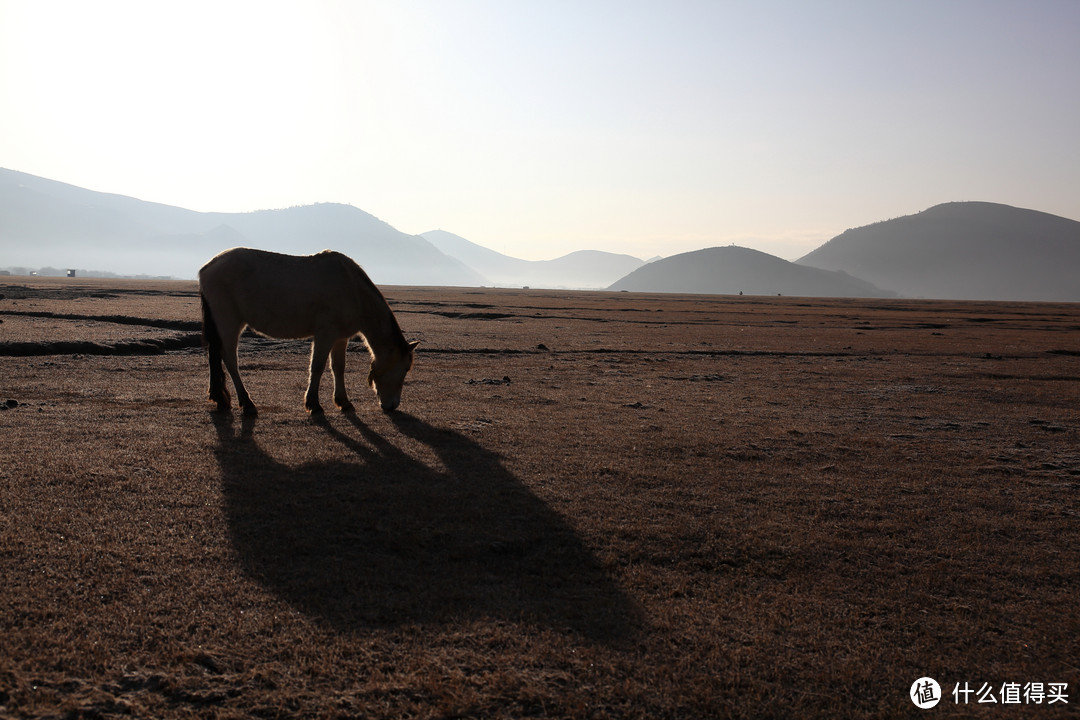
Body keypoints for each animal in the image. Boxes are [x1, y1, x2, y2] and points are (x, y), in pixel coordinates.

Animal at [198, 249, 416, 414]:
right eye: (406, 368)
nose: (392, 405)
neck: (352, 288)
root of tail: (207, 268)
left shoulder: (340, 338)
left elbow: (338, 367)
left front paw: (343, 401)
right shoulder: (325, 333)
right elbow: (317, 366)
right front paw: (313, 404)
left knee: (215, 355)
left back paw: (221, 398)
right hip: (229, 322)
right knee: (229, 359)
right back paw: (246, 403)